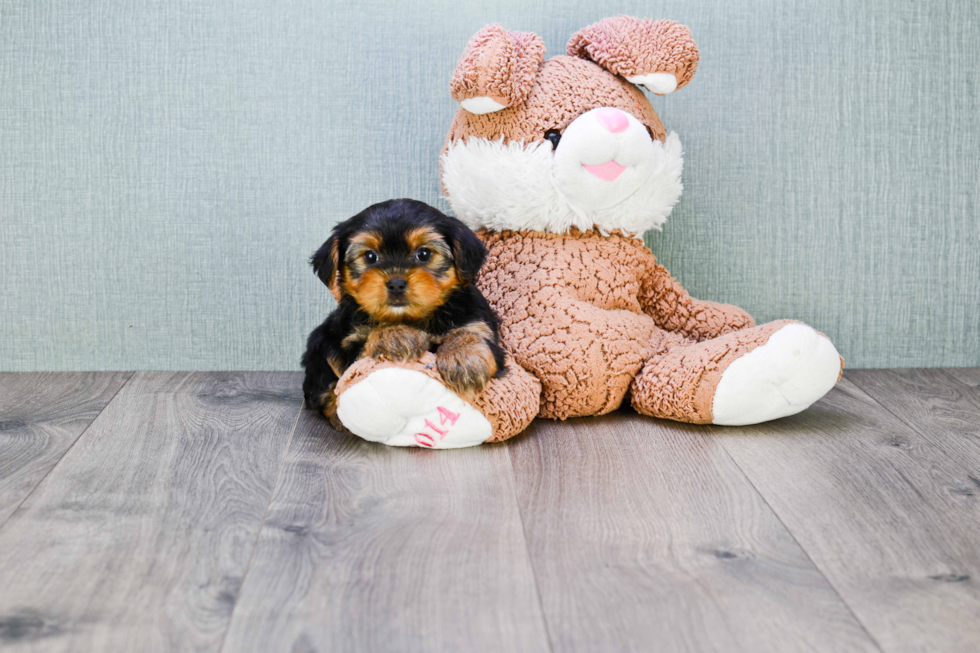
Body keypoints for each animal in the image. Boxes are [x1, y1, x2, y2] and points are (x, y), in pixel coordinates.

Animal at [302, 196, 506, 426]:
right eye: (370, 256)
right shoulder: (352, 346)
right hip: (320, 340)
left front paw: (465, 359)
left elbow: (470, 333)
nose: (396, 283)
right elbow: (363, 354)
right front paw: (395, 335)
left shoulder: (477, 320)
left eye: (424, 254)